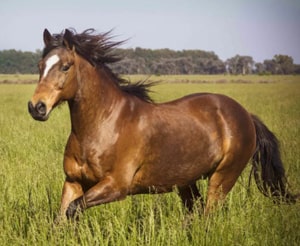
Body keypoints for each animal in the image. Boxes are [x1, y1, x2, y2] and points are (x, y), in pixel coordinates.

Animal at [27, 28, 296, 221]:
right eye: (40, 66)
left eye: (65, 66)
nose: (36, 107)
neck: (103, 126)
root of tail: (246, 115)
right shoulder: (73, 182)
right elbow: (61, 218)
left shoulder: (115, 186)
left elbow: (73, 210)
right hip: (187, 183)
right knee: (195, 215)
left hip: (222, 178)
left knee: (208, 217)